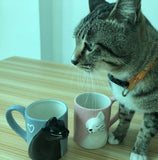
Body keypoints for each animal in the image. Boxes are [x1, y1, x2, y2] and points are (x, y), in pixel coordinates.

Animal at [71, 0, 158, 160]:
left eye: (90, 45)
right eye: (75, 39)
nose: (72, 60)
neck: (127, 79)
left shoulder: (155, 110)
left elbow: (146, 130)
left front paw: (139, 151)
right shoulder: (124, 102)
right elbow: (124, 117)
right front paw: (118, 135)